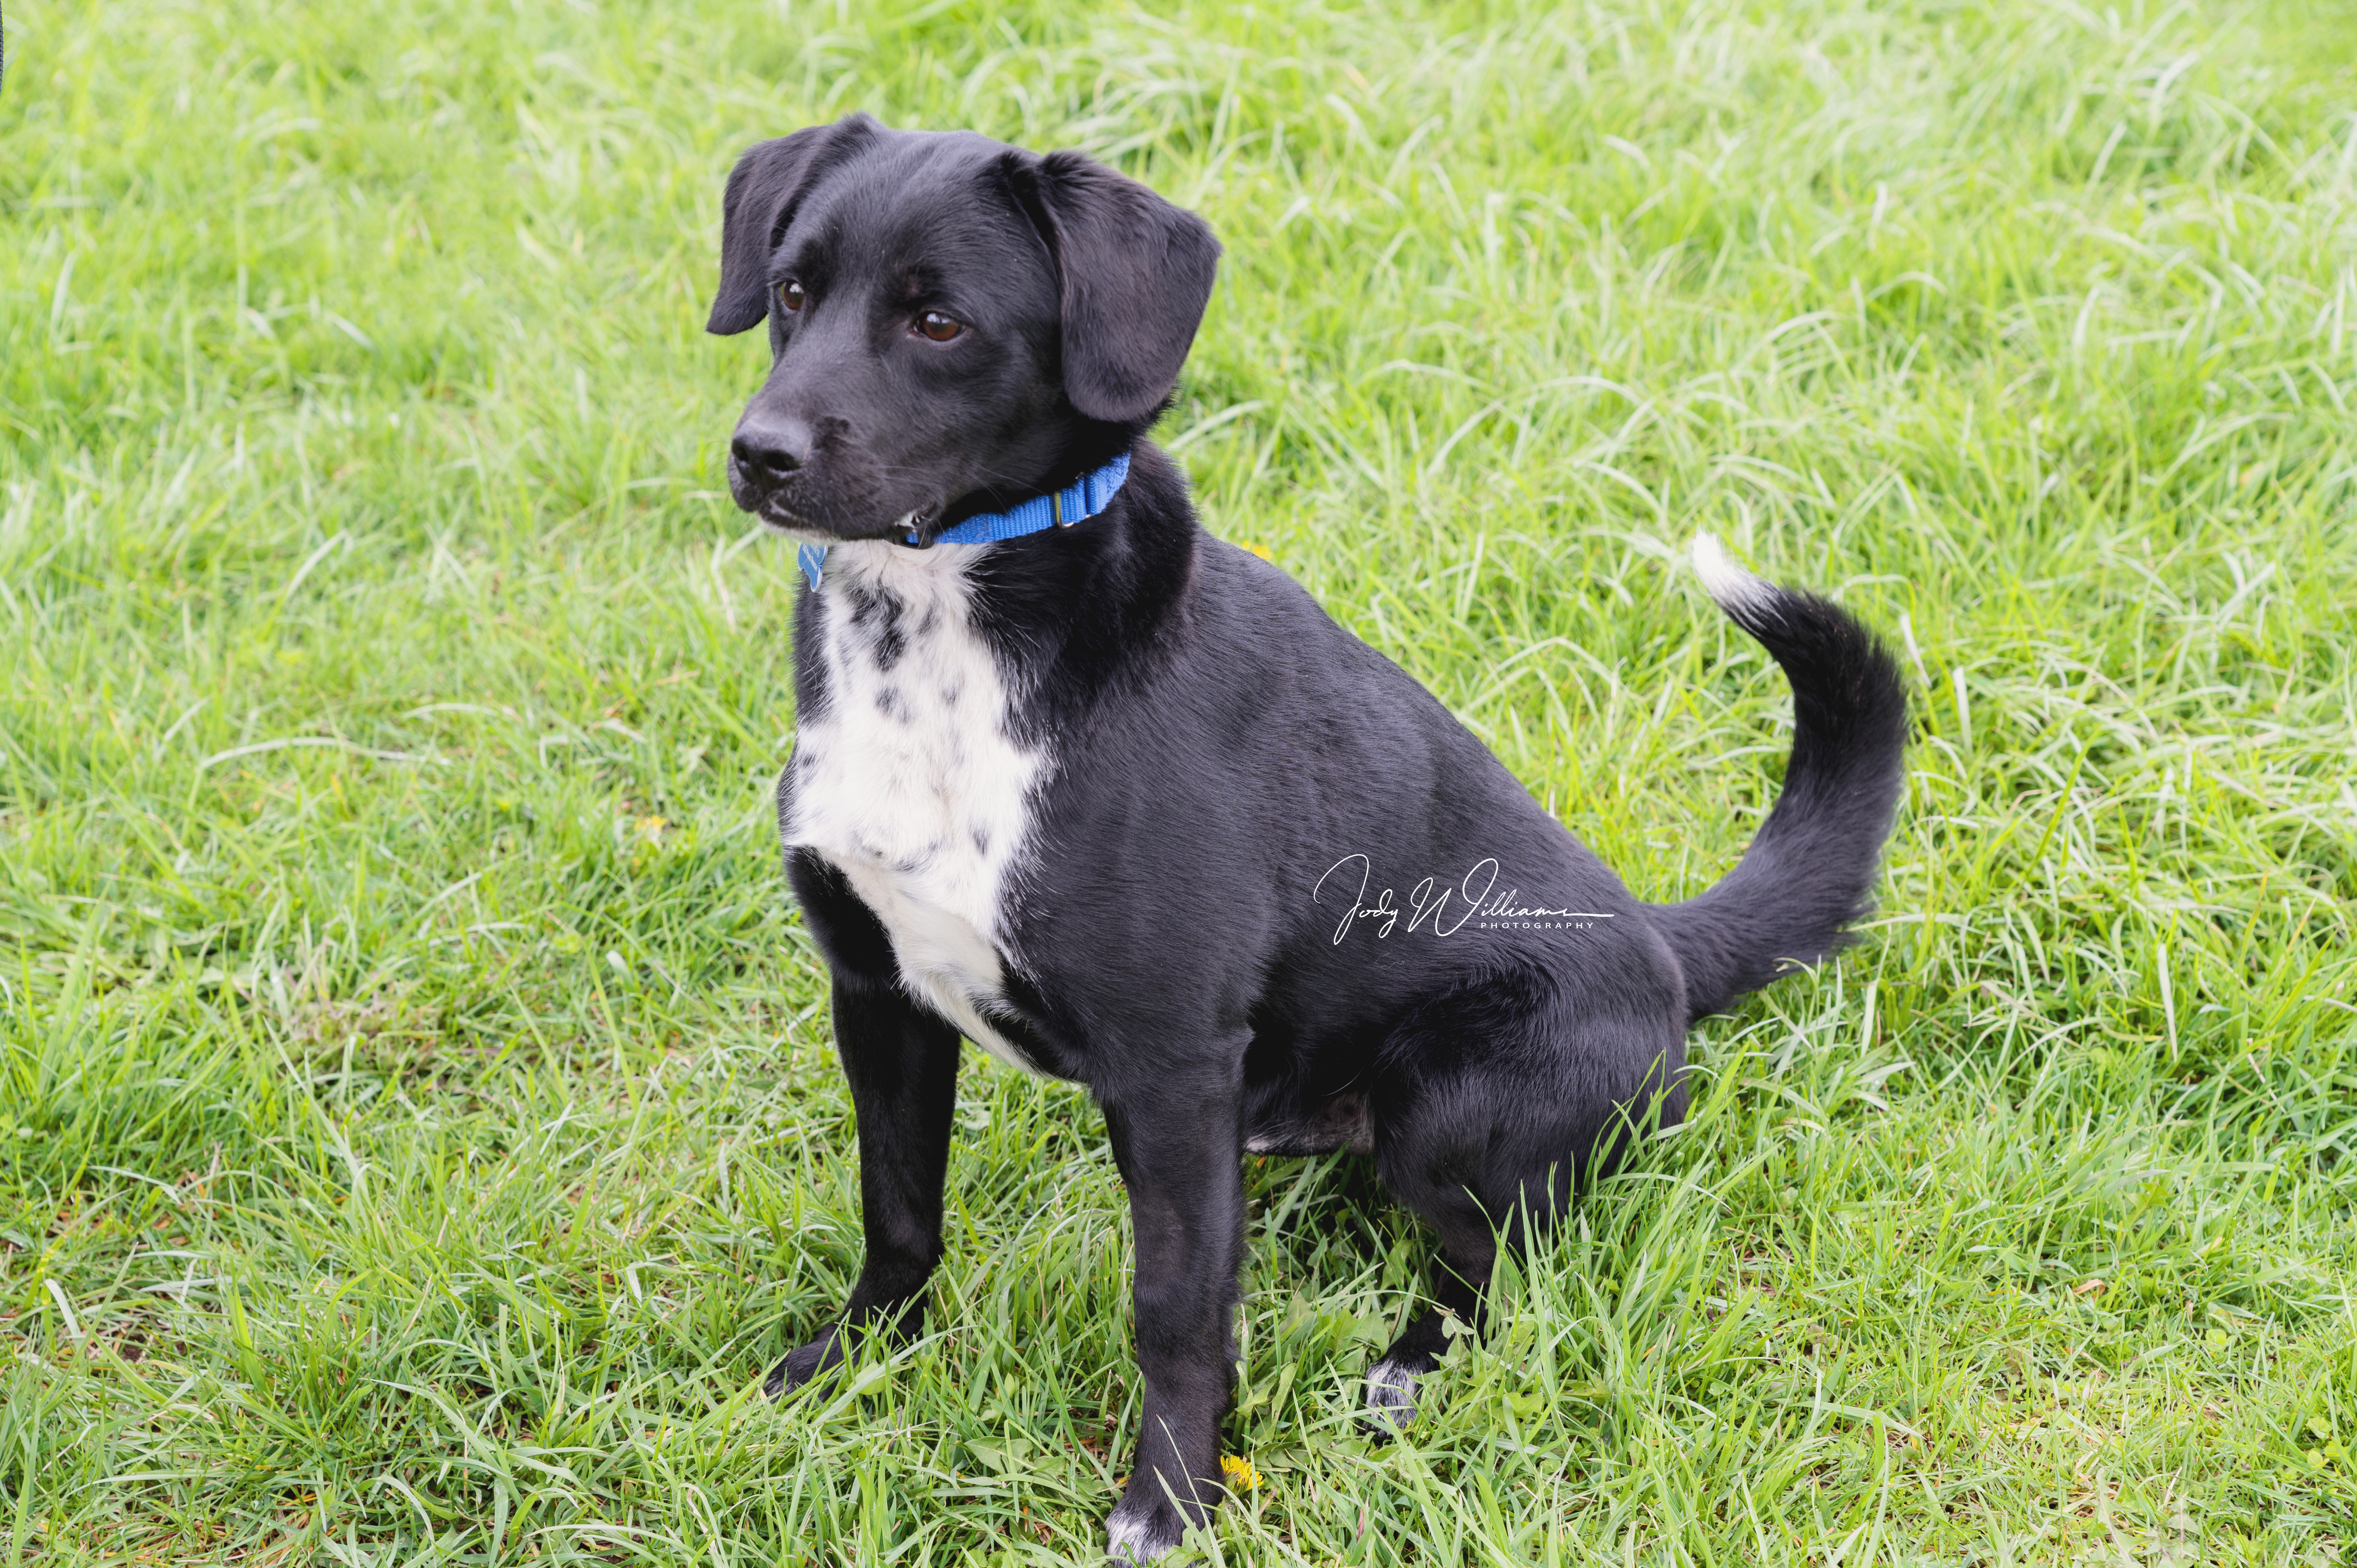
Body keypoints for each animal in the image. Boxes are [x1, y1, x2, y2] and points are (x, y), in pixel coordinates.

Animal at [707, 116, 1904, 1556]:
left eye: (937, 320)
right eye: (791, 290)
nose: (758, 452)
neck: (938, 646)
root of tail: (1661, 945)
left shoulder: (1171, 1065)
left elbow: (1174, 1310)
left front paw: (1169, 1498)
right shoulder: (875, 992)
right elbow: (897, 1208)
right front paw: (855, 1364)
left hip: (1452, 1099)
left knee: (1494, 1261)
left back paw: (1410, 1367)